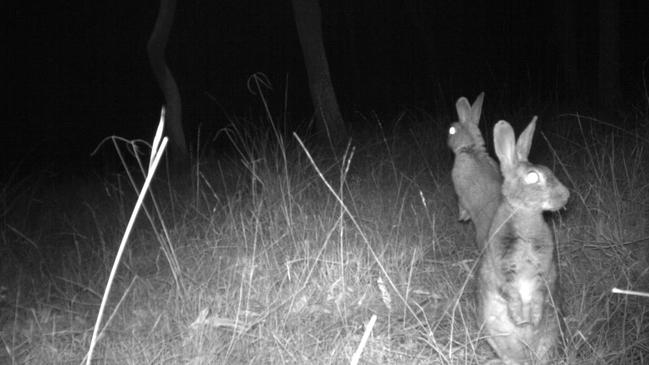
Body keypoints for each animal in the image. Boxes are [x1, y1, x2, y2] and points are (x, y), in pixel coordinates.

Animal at [476, 118, 568, 362]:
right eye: (533, 177)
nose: (566, 195)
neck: (525, 216)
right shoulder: (503, 266)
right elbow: (509, 291)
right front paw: (521, 320)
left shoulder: (544, 268)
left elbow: (540, 291)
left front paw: (532, 320)